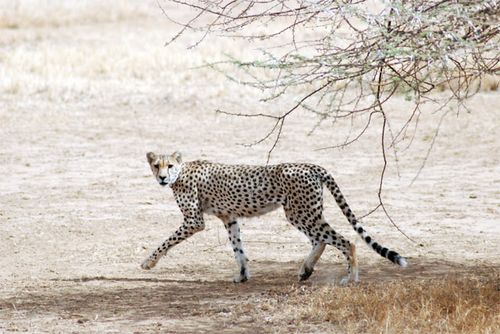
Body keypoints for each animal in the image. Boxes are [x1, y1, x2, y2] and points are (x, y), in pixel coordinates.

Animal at [141, 153, 406, 284]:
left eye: (169, 165)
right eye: (156, 165)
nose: (162, 177)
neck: (181, 173)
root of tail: (311, 165)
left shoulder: (194, 221)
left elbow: (166, 241)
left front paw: (148, 262)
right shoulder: (229, 217)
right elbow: (238, 248)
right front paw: (242, 275)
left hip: (299, 212)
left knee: (345, 241)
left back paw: (351, 278)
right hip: (302, 212)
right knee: (320, 240)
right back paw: (306, 270)